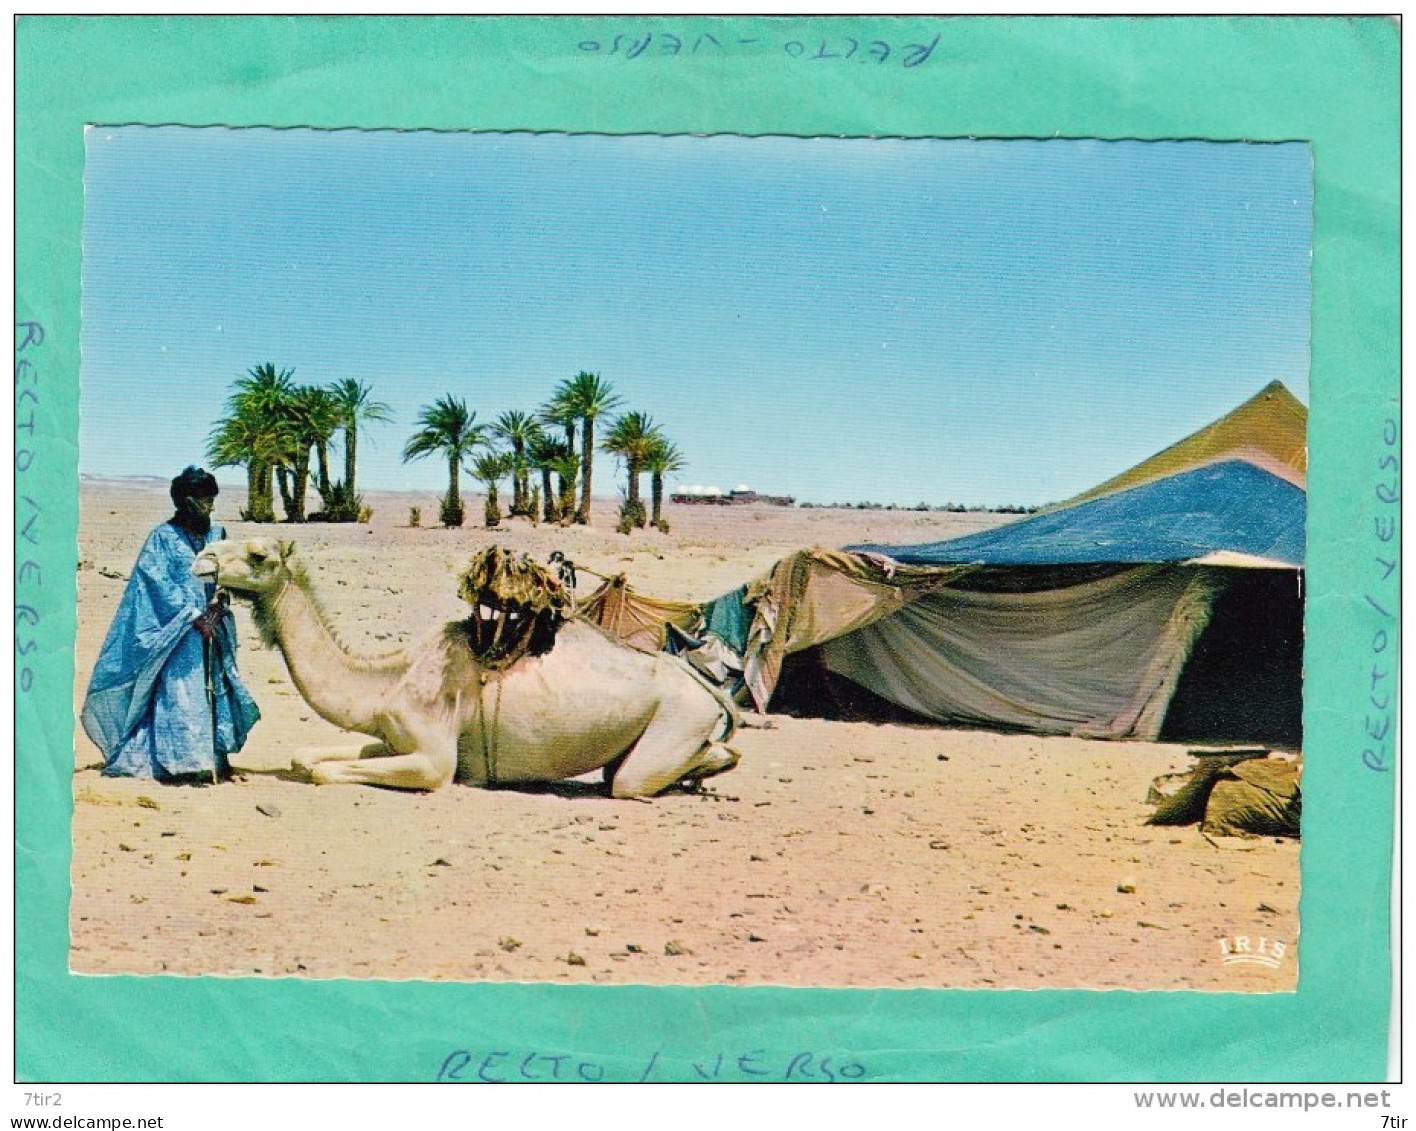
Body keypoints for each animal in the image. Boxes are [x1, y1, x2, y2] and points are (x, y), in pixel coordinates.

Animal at [193, 537, 741, 798]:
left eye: (258, 555)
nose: (202, 558)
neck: (391, 678)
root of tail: (706, 688)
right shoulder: (394, 735)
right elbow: (306, 757)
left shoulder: (434, 760)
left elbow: (325, 772)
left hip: (679, 717)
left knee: (631, 782)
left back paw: (710, 768)